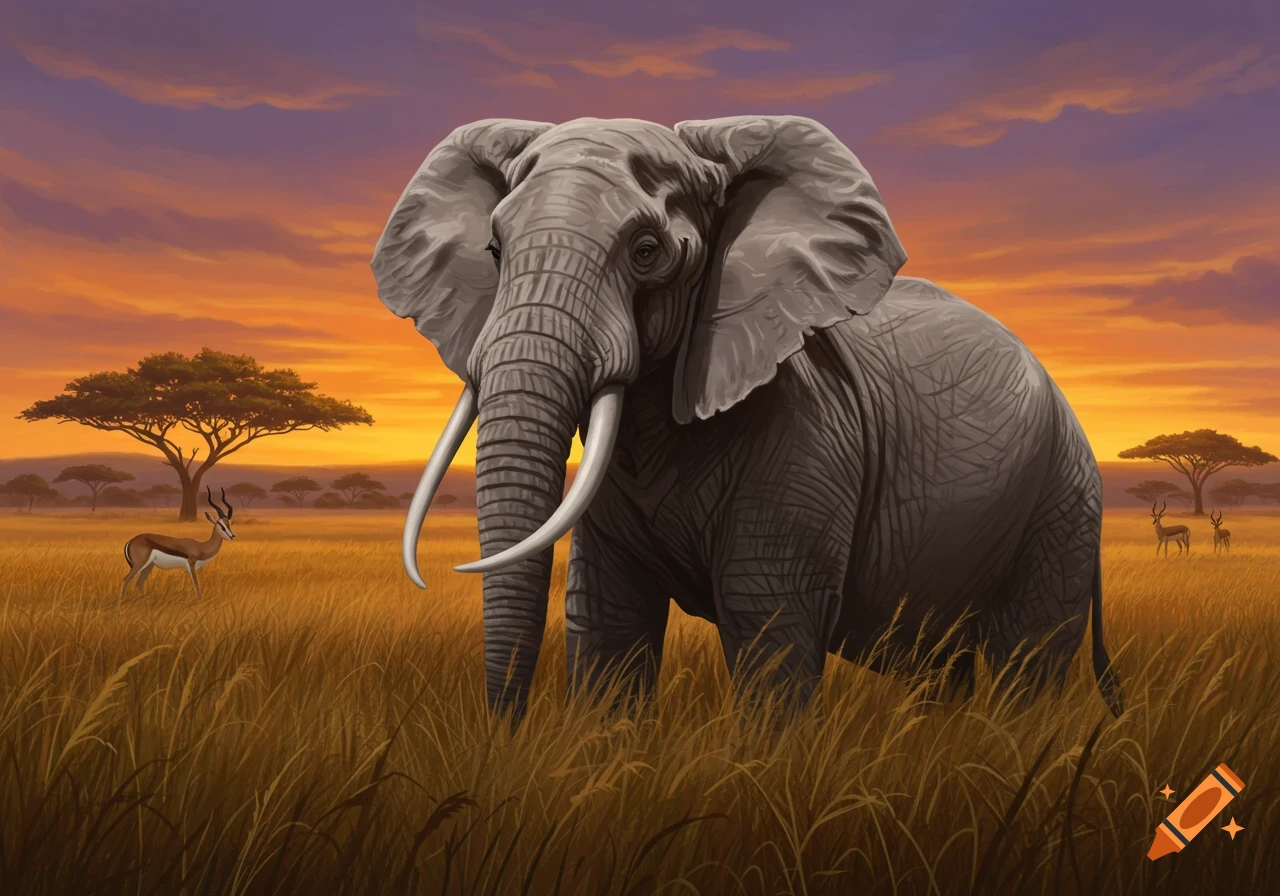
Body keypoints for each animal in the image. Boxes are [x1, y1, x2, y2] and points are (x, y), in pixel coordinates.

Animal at [371, 115, 1126, 723]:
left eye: (647, 252)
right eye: (494, 253)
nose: (508, 730)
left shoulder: (806, 436)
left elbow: (767, 624)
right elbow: (611, 622)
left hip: (1060, 506)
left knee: (1024, 664)